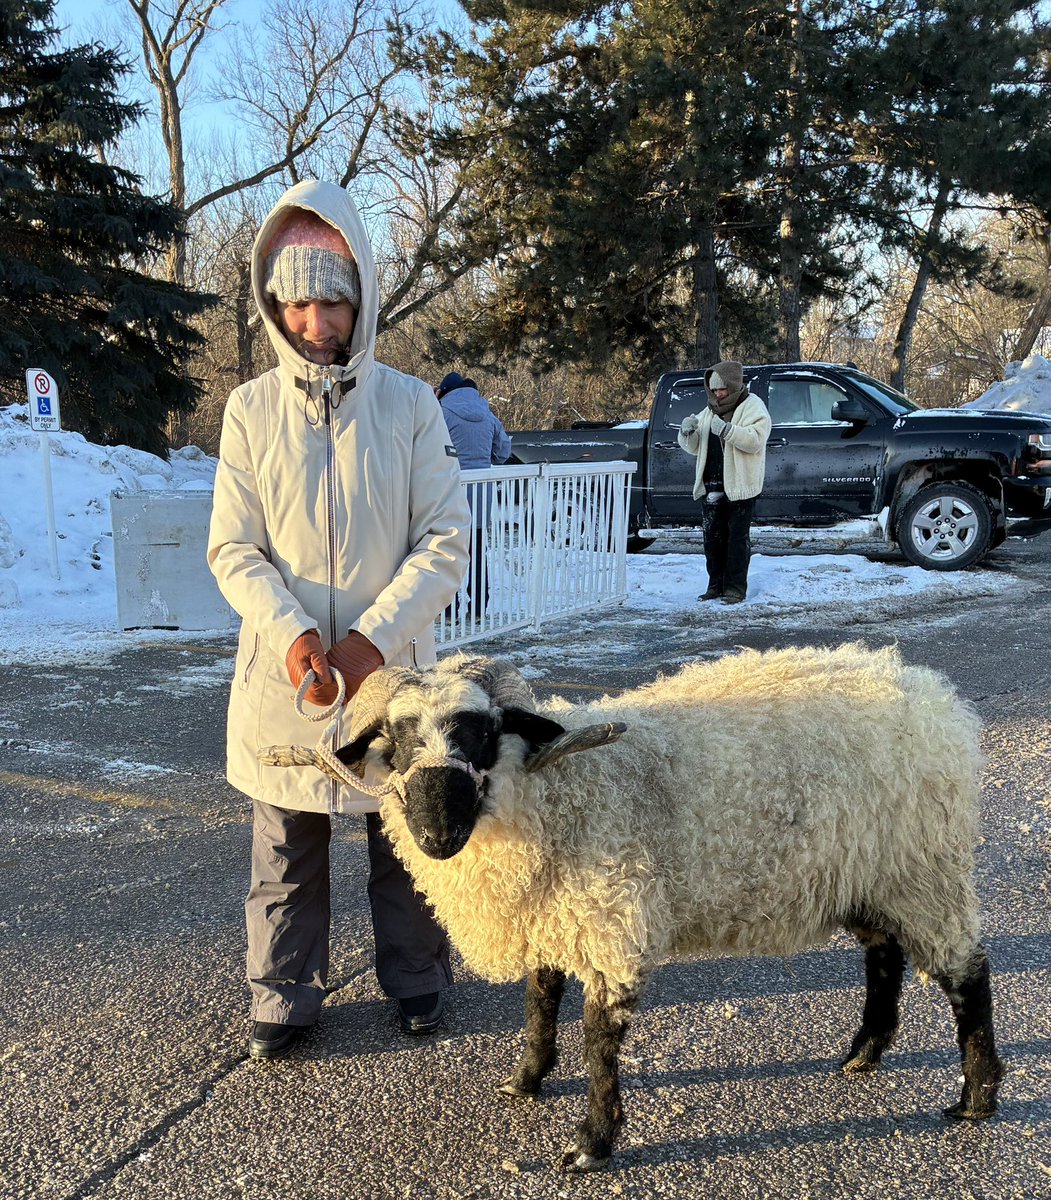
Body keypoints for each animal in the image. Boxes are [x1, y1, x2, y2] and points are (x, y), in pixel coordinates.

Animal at [259, 643, 1003, 1172]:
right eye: (396, 739)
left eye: (481, 733)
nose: (437, 834)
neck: (555, 794)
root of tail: (927, 691)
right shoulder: (551, 914)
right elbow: (539, 1004)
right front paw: (526, 1080)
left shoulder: (608, 921)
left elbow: (597, 1040)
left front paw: (591, 1144)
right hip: (865, 872)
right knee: (884, 954)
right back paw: (865, 1053)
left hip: (923, 870)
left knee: (967, 973)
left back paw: (975, 1098)